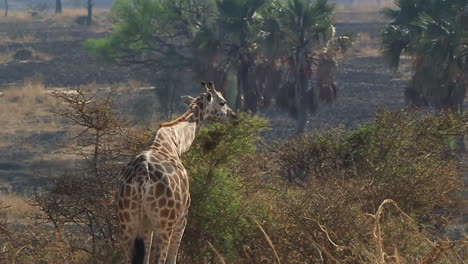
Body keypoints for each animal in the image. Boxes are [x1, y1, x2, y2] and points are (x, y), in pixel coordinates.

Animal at [115, 81, 236, 262]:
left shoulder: (145, 224)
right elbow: (173, 256)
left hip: (127, 223)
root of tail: (142, 181)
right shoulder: (183, 215)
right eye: (222, 102)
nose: (234, 117)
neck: (175, 143)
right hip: (164, 223)